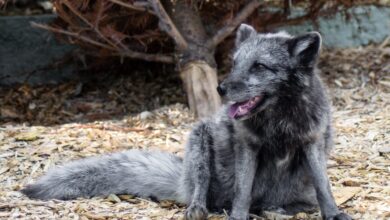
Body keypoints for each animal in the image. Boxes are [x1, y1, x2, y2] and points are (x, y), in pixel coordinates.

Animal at [22, 24, 352, 220]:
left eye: (260, 66)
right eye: (235, 64)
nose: (220, 89)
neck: (278, 120)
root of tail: (181, 181)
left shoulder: (312, 143)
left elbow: (324, 186)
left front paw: (334, 214)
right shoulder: (247, 147)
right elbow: (243, 191)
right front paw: (238, 216)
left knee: (284, 201)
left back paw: (278, 210)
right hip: (200, 142)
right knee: (203, 192)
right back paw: (200, 208)